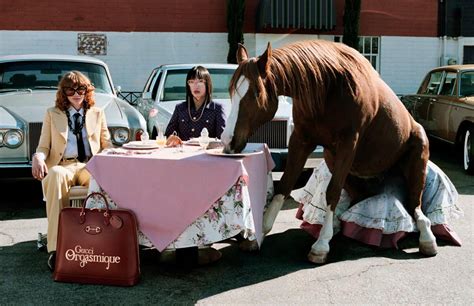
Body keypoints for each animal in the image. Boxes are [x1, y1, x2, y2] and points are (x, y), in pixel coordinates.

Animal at [222, 40, 436, 266]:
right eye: (231, 90)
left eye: (256, 92)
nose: (228, 141)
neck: (329, 87)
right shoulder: (301, 140)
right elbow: (285, 185)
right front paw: (258, 235)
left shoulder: (347, 145)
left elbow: (332, 192)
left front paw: (321, 245)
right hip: (336, 163)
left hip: (417, 159)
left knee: (415, 205)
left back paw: (427, 237)